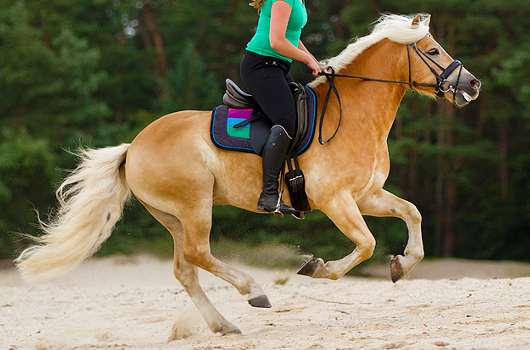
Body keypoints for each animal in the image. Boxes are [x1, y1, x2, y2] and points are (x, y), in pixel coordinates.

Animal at [16, 13, 478, 336]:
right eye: (432, 50)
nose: (471, 85)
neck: (354, 115)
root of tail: (134, 146)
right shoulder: (336, 201)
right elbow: (365, 244)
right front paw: (318, 267)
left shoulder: (366, 195)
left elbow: (413, 213)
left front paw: (402, 265)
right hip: (195, 205)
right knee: (199, 255)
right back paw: (253, 291)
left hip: (172, 217)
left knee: (185, 269)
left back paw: (223, 325)